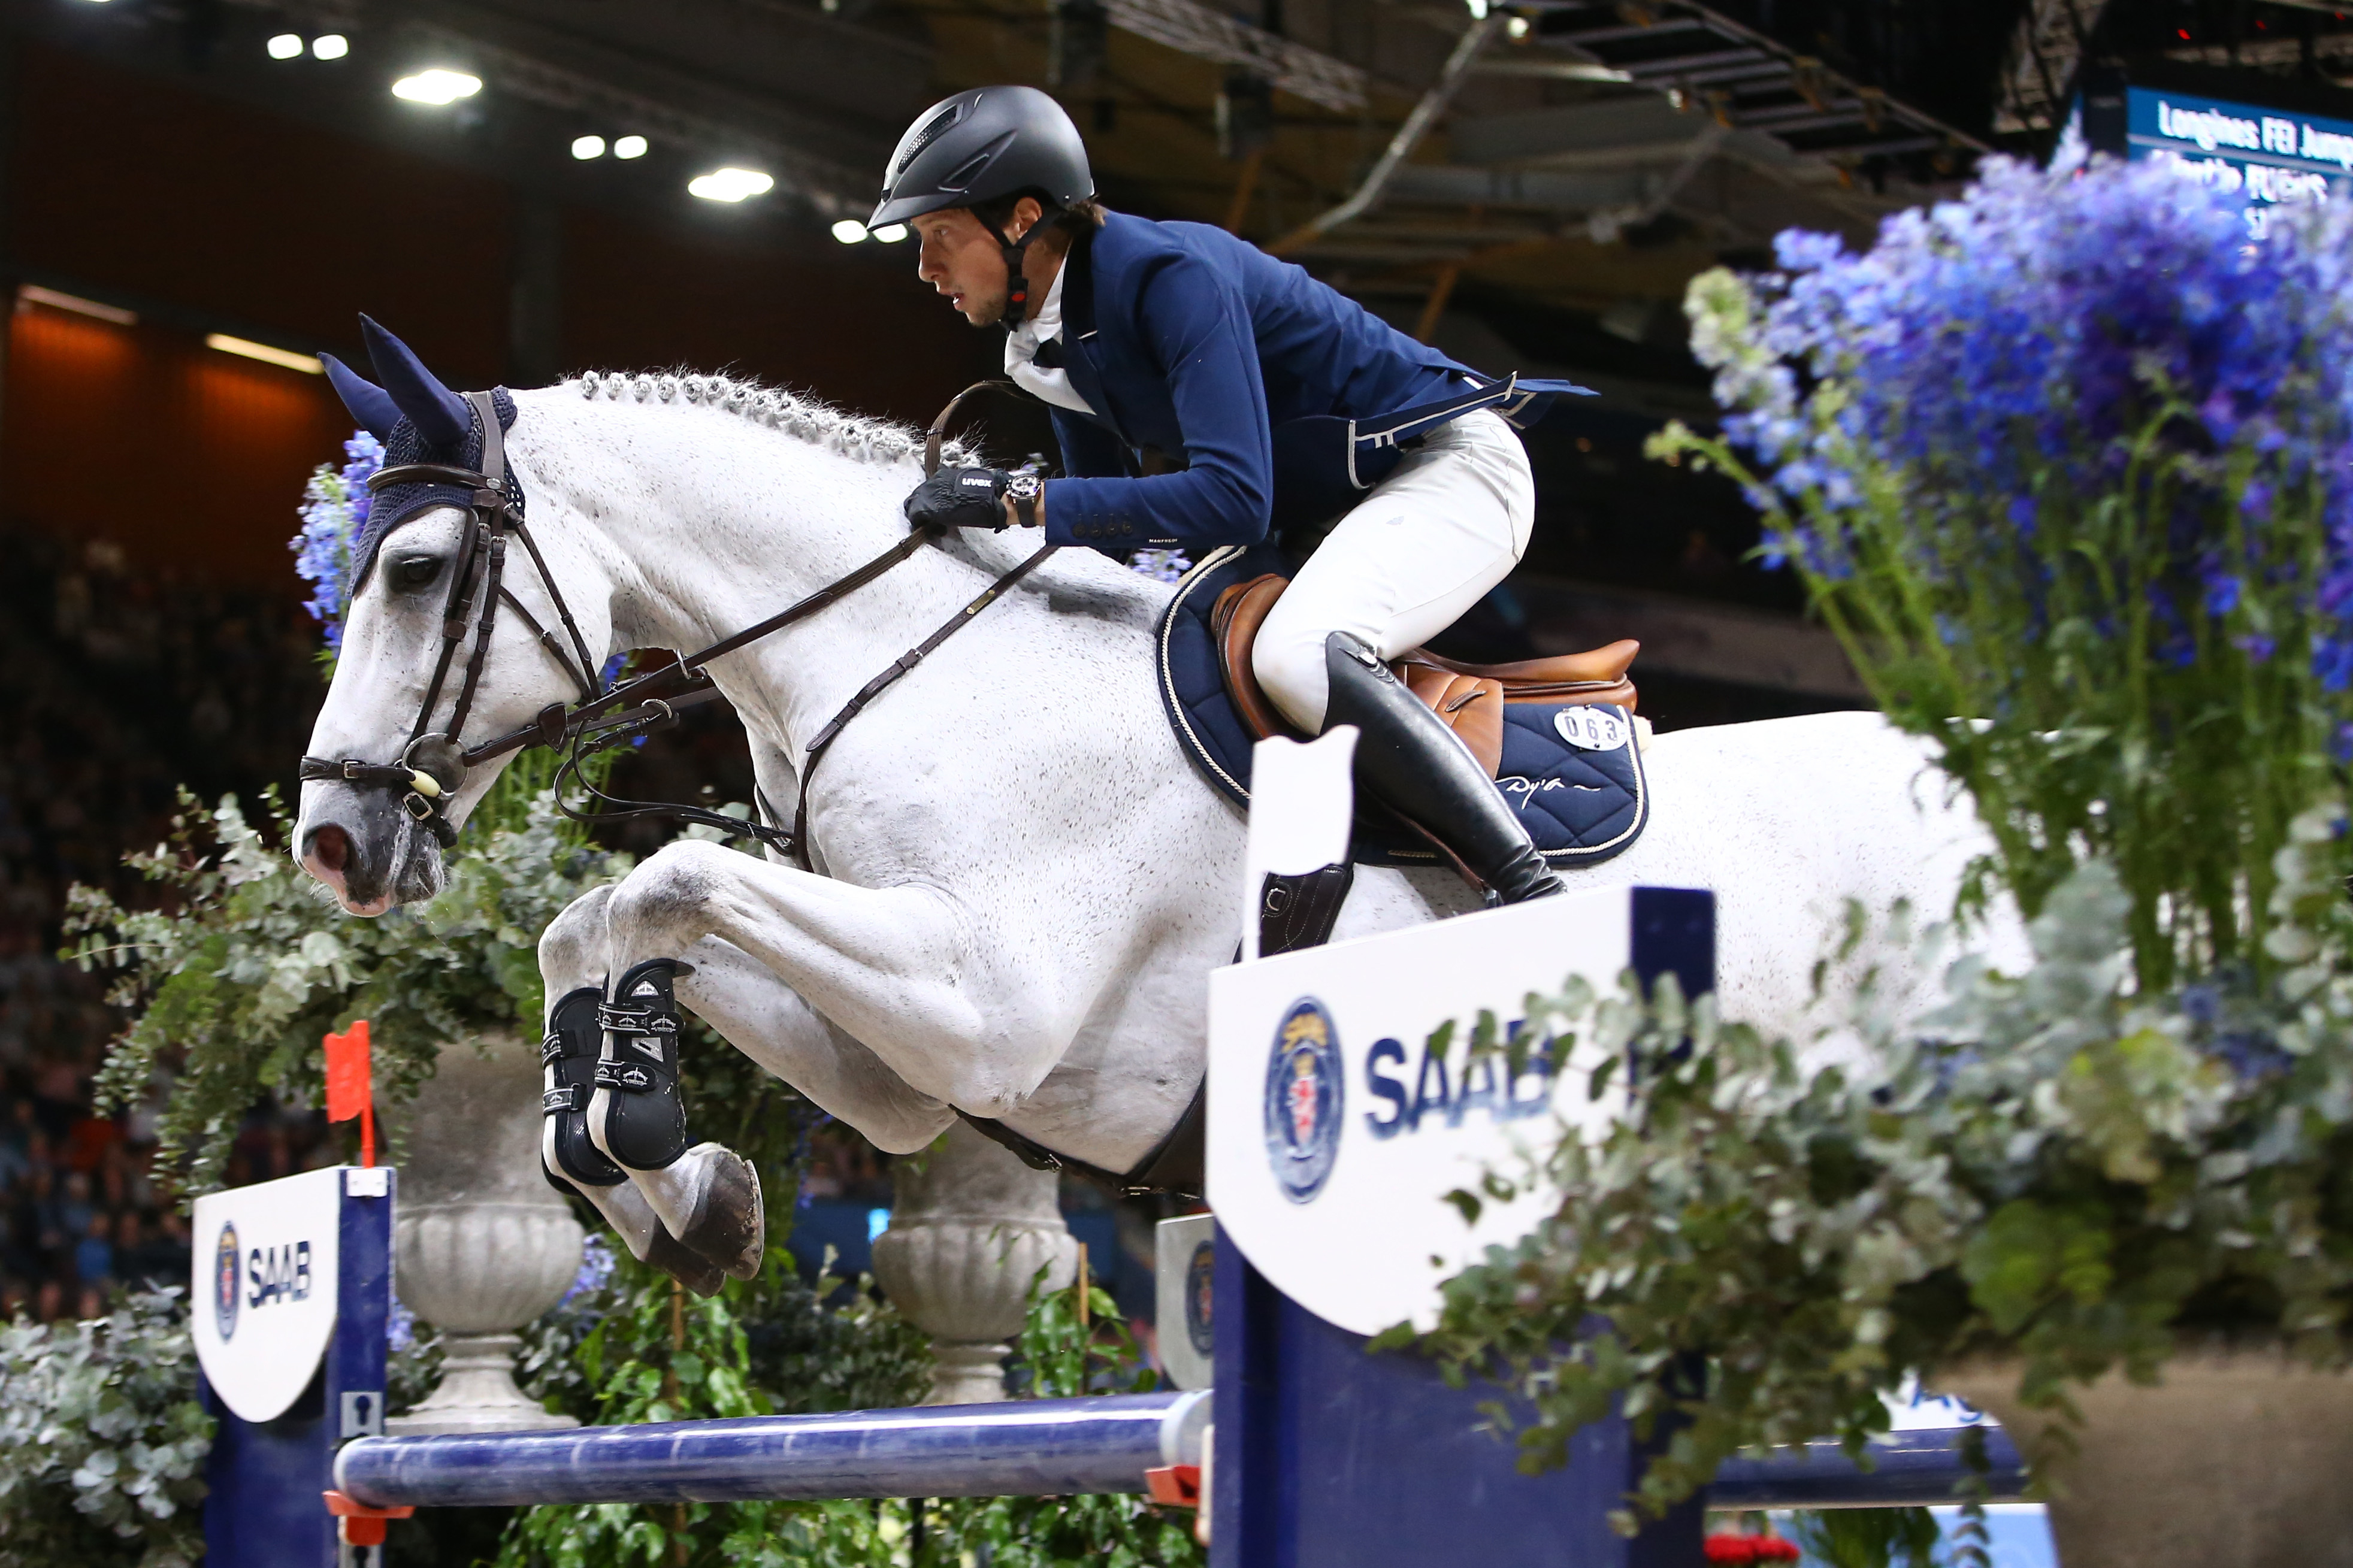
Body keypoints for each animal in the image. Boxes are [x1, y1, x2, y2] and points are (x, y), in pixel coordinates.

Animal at [294, 350, 2024, 1281]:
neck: (919, 665)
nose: (332, 844)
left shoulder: (986, 1002)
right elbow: (598, 921)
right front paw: (675, 1182)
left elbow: (668, 880)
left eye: (419, 571)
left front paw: (644, 1129)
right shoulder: (915, 1071)